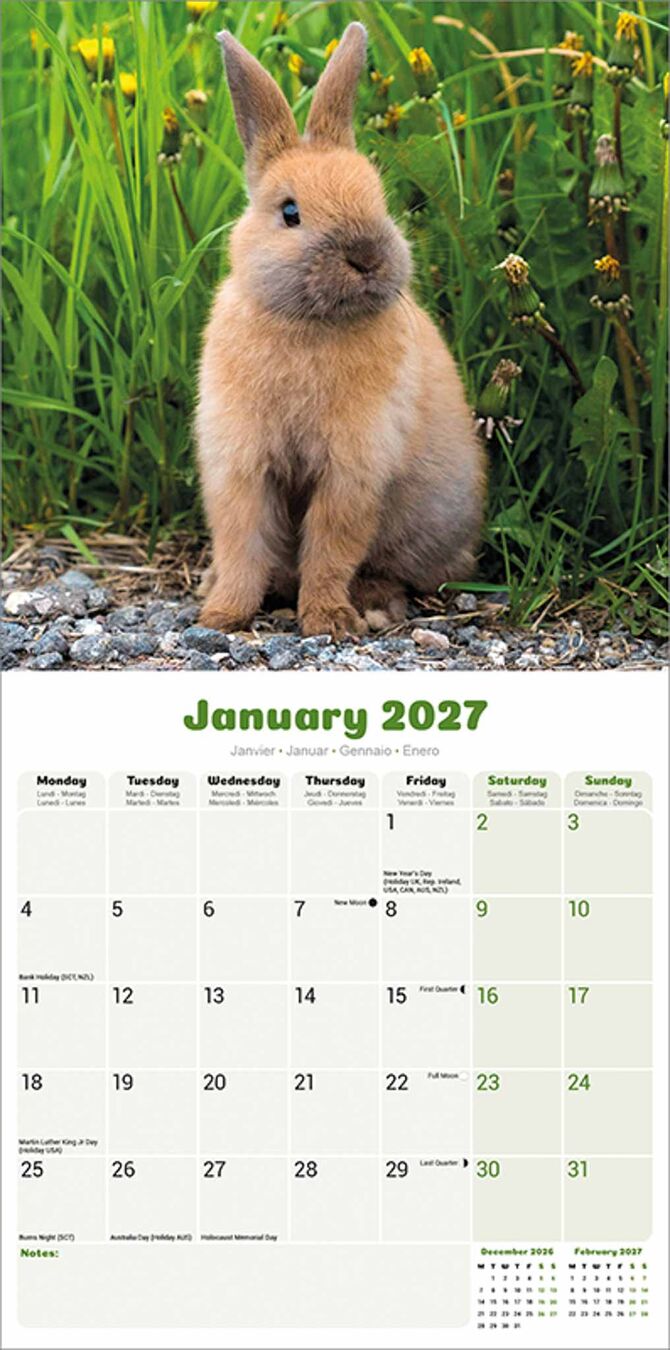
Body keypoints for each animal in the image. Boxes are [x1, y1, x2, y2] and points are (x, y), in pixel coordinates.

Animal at [196, 21, 485, 638]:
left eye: (379, 198)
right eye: (289, 212)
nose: (367, 255)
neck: (309, 323)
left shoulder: (352, 470)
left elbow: (331, 548)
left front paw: (329, 621)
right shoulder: (240, 464)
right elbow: (241, 544)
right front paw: (223, 615)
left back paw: (375, 604)